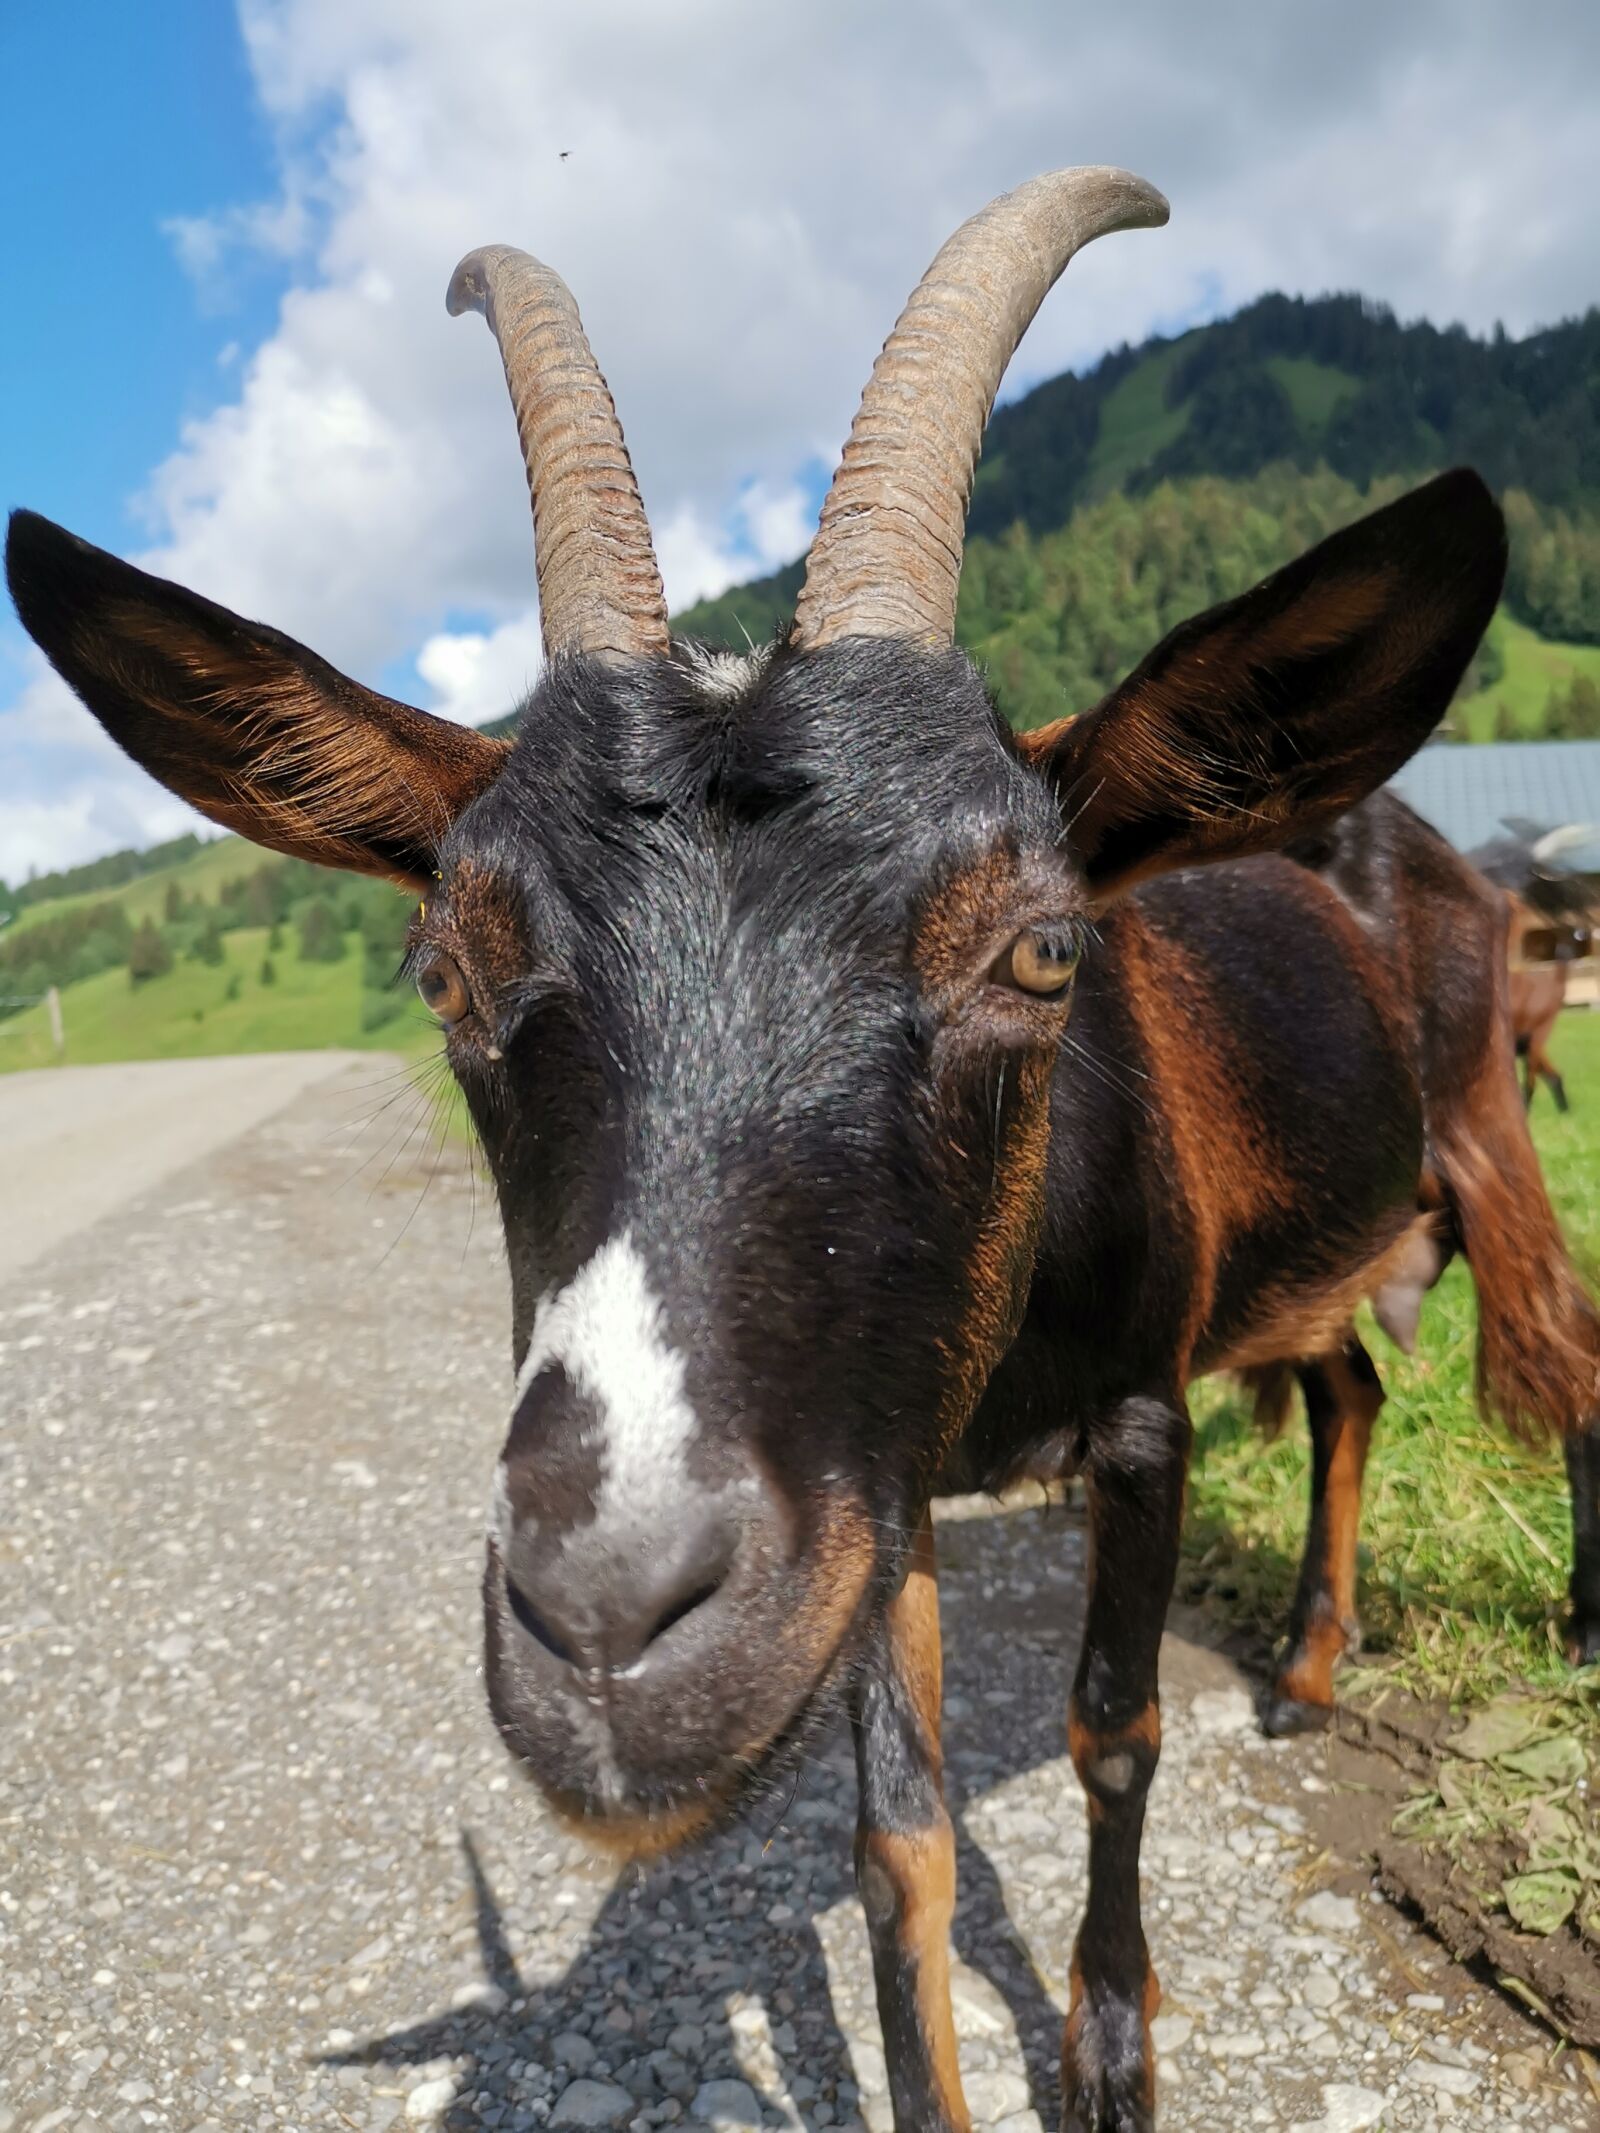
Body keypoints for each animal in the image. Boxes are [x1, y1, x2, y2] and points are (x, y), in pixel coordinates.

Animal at [6, 167, 1536, 2132]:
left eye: (1043, 949)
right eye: (448, 967)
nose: (603, 1617)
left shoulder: (1135, 1417)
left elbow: (1114, 1730)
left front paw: (1113, 2049)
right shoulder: (878, 1483)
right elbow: (899, 1837)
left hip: (1484, 1128)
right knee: (1348, 1380)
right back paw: (1312, 1667)